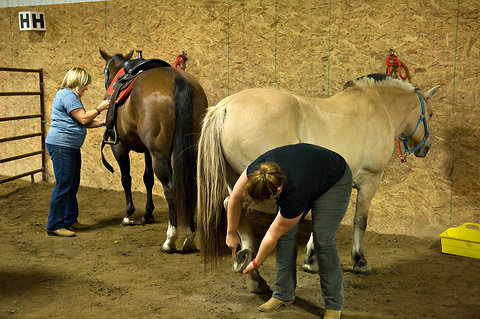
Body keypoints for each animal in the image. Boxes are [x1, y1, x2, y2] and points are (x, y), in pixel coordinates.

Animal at [100, 50, 207, 254]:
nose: (106, 95)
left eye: (105, 72)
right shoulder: (147, 151)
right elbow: (147, 178)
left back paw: (170, 240)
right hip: (187, 150)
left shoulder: (120, 147)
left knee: (171, 189)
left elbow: (126, 179)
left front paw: (129, 215)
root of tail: (179, 80)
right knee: (190, 186)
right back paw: (189, 238)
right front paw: (148, 214)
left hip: (160, 154)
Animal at [195, 74, 438, 294]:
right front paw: (360, 261)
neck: (379, 108)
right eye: (430, 114)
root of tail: (225, 107)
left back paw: (254, 276)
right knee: (235, 205)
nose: (426, 148)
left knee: (234, 207)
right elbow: (360, 220)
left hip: (236, 180)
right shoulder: (370, 180)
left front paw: (310, 260)